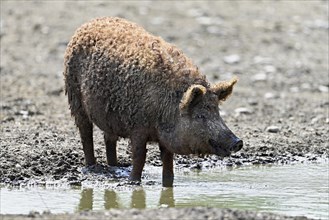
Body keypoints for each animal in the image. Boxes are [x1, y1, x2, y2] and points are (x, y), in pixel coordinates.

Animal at [62, 17, 242, 186]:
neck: (166, 106)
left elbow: (168, 162)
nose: (238, 142)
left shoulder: (165, 139)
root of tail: (89, 22)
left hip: (108, 114)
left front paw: (168, 184)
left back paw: (116, 166)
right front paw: (133, 181)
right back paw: (93, 167)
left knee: (109, 138)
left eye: (217, 111)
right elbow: (140, 156)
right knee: (86, 133)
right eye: (200, 116)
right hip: (74, 96)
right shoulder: (137, 126)